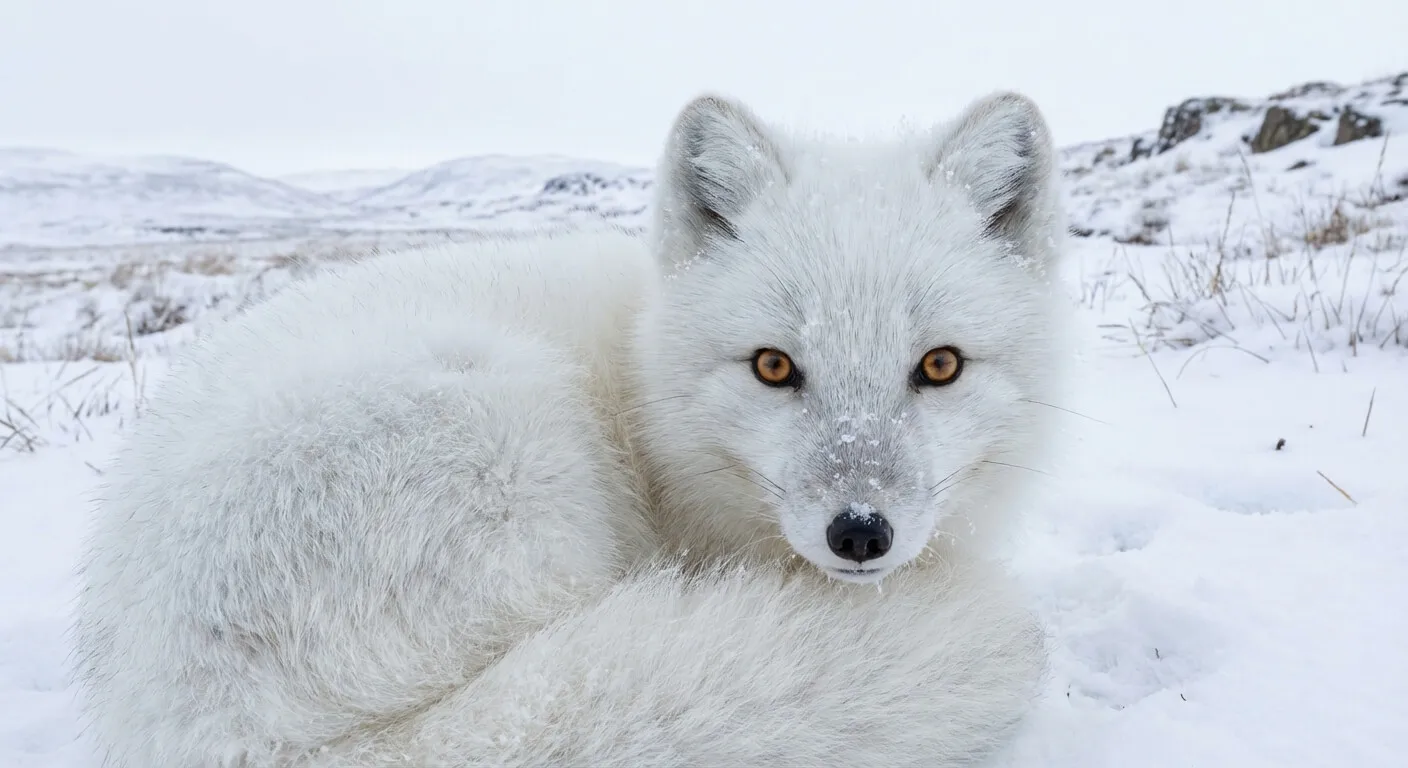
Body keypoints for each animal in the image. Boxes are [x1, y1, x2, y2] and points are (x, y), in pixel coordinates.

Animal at [70, 89, 1070, 767]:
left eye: (938, 366)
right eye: (774, 367)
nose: (859, 535)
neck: (643, 394)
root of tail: (201, 722)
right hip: (511, 435)